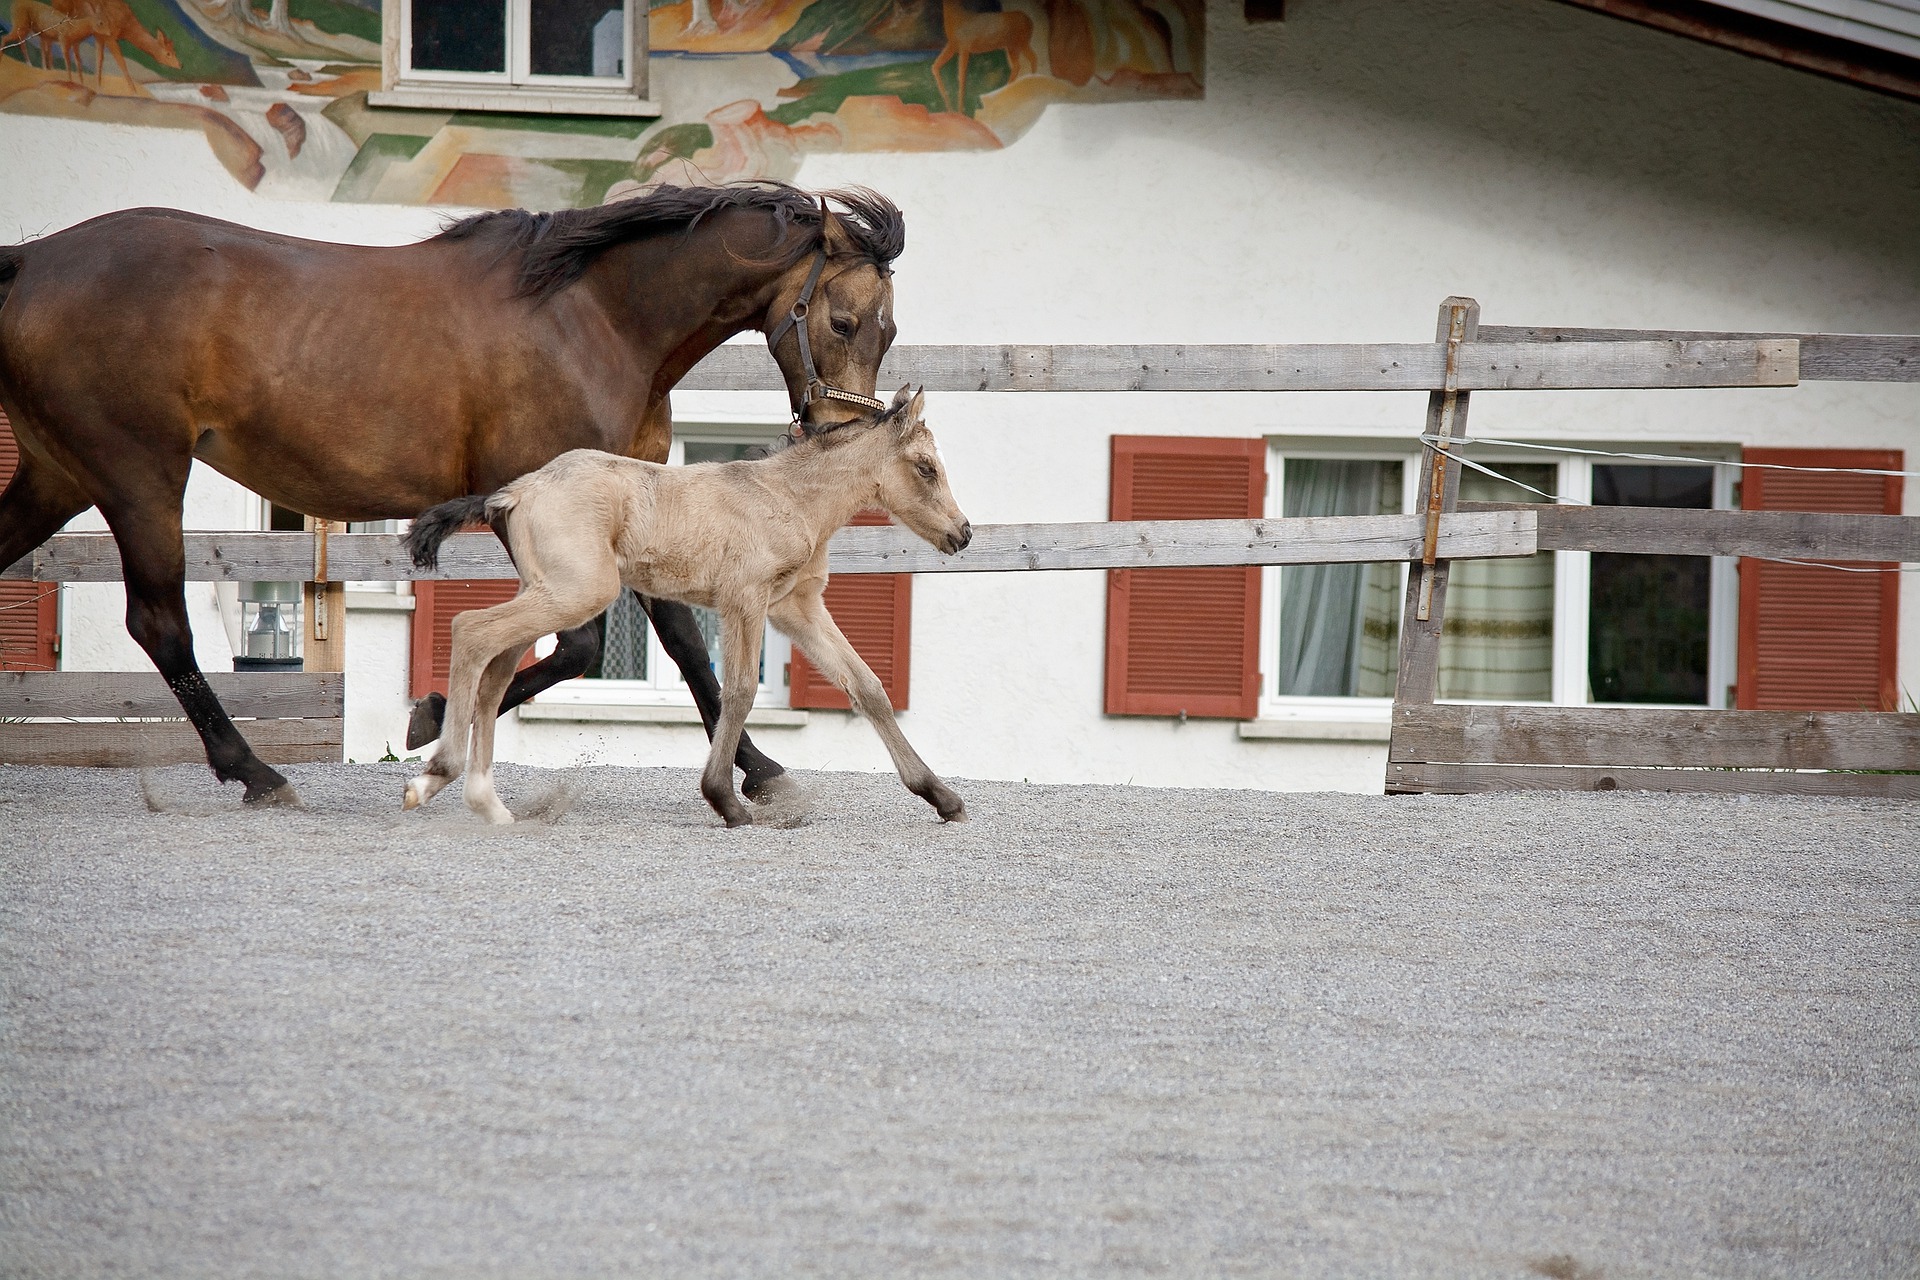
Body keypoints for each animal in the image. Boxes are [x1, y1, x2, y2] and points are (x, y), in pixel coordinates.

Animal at [405, 387, 975, 832]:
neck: (790, 498)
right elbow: (739, 692)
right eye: (926, 468)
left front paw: (941, 796)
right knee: (471, 629)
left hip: (547, 592)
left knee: (496, 668)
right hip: (578, 592)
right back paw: (436, 775)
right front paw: (725, 800)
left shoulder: (796, 608)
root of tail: (517, 490)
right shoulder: (745, 599)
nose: (963, 533)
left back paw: (487, 803)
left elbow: (867, 687)